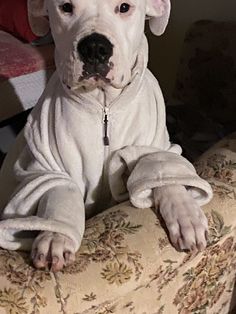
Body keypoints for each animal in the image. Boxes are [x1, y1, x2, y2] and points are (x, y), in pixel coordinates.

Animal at [0, 0, 213, 270]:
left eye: (124, 7)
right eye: (66, 7)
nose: (94, 47)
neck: (104, 103)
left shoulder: (153, 147)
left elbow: (163, 174)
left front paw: (185, 213)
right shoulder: (46, 166)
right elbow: (60, 190)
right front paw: (55, 236)